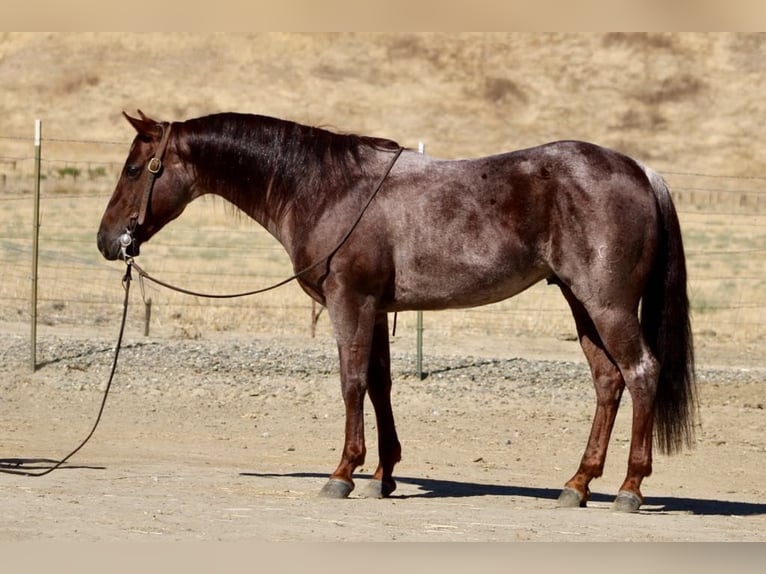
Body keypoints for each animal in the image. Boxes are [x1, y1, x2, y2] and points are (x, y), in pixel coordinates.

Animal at [97, 111, 697, 512]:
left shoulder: (350, 302)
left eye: (134, 168)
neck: (328, 188)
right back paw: (577, 484)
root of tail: (642, 171)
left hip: (606, 304)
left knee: (640, 372)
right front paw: (383, 474)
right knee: (608, 383)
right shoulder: (377, 308)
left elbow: (352, 382)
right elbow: (380, 384)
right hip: (581, 304)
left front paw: (343, 472)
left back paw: (629, 488)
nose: (107, 241)